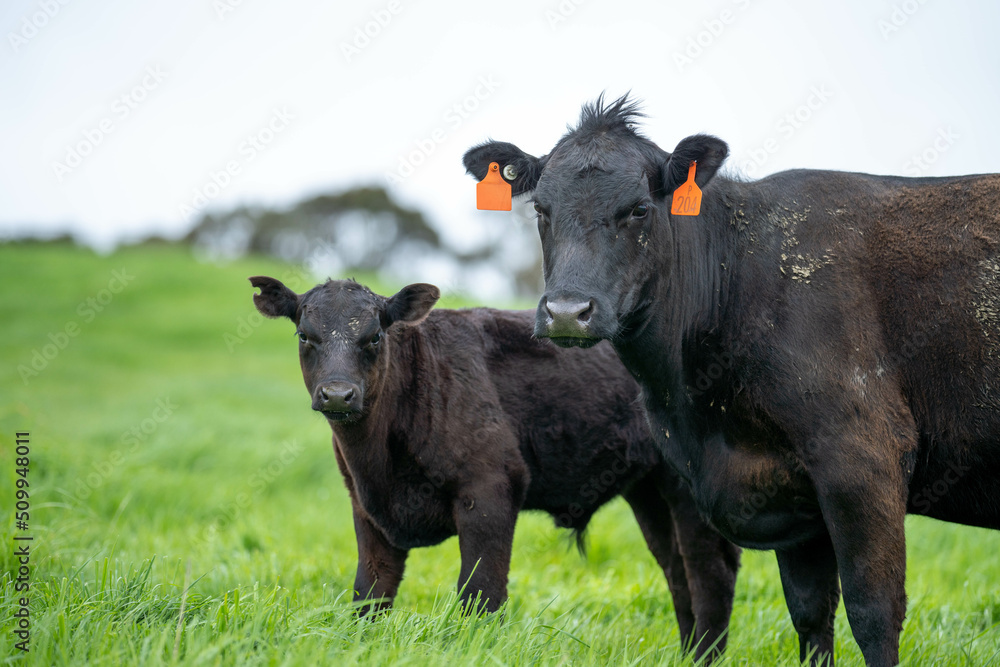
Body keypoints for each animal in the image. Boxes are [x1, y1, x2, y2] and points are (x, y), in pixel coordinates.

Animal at [249, 275, 741, 661]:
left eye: (373, 337)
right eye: (304, 336)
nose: (338, 394)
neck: (381, 465)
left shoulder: (490, 489)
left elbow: (480, 593)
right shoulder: (368, 509)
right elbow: (370, 593)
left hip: (687, 488)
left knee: (709, 574)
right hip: (648, 490)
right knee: (677, 572)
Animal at [463, 94, 1000, 667]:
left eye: (639, 209)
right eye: (540, 210)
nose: (567, 312)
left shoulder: (863, 456)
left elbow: (874, 611)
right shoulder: (791, 498)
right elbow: (811, 615)